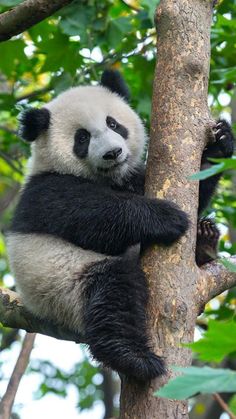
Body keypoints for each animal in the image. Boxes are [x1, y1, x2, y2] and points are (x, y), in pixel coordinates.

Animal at [6, 70, 234, 382]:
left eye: (113, 123)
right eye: (82, 138)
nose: (112, 153)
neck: (108, 178)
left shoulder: (133, 178)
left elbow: (197, 183)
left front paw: (220, 143)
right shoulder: (47, 191)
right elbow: (95, 219)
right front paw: (166, 217)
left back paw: (205, 240)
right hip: (62, 286)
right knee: (112, 292)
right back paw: (134, 358)